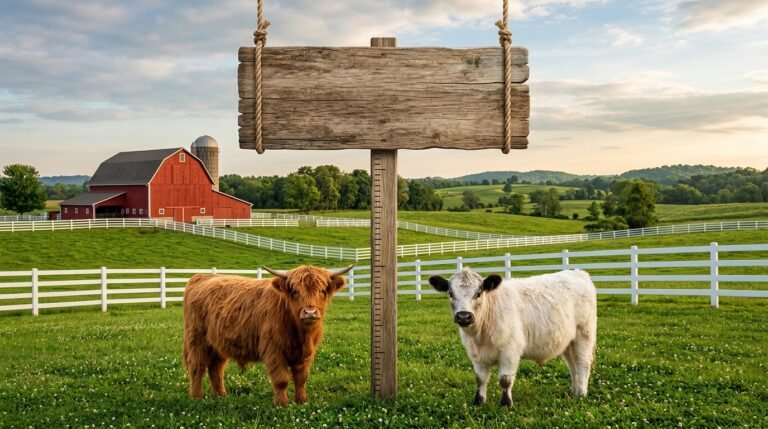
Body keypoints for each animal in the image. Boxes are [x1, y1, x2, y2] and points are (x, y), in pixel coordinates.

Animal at [182, 264, 353, 406]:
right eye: (295, 292)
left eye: (322, 291)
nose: (310, 312)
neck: (301, 335)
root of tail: (201, 276)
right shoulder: (274, 350)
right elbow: (281, 379)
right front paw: (282, 404)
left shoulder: (306, 354)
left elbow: (301, 378)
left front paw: (301, 401)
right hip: (197, 339)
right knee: (197, 366)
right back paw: (197, 396)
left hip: (217, 343)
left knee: (216, 368)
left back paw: (221, 395)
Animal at [429, 268, 597, 407]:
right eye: (450, 294)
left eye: (478, 293)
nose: (464, 316)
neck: (480, 336)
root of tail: (577, 272)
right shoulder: (476, 355)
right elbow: (480, 379)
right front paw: (479, 402)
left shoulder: (510, 351)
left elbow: (505, 380)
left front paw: (506, 403)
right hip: (568, 341)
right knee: (572, 365)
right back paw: (575, 391)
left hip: (584, 333)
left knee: (583, 363)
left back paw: (581, 394)